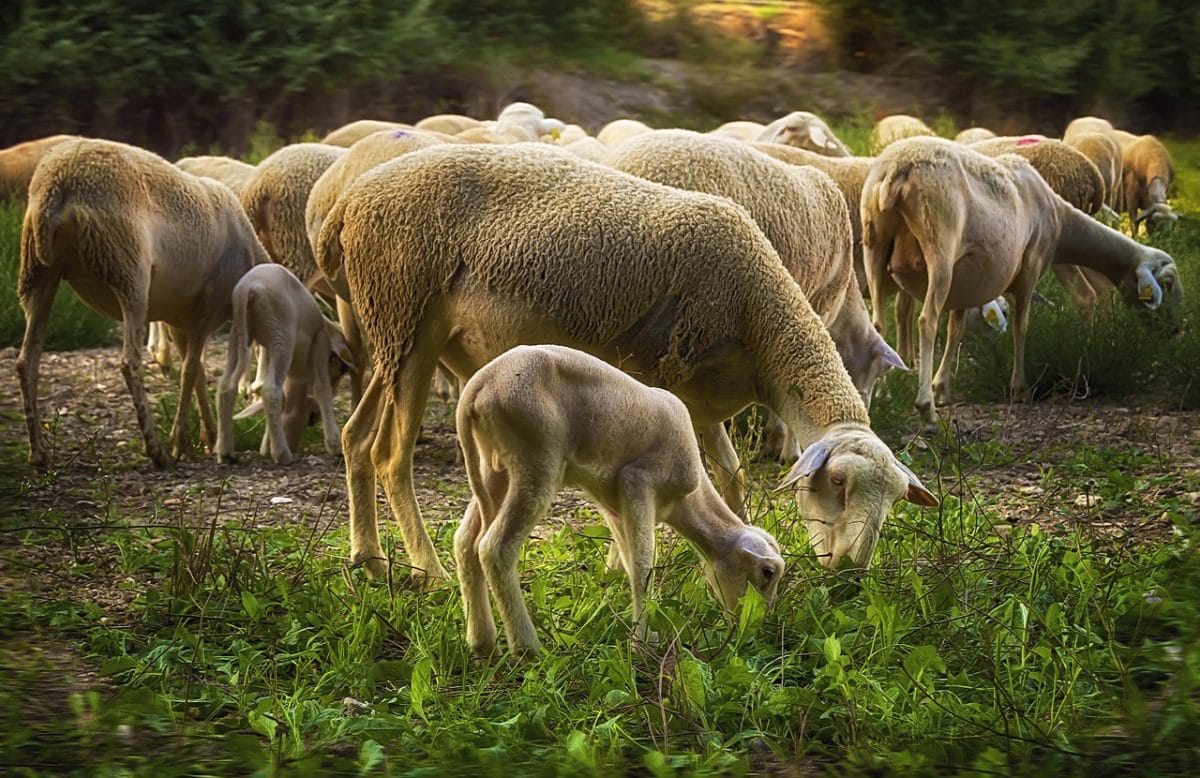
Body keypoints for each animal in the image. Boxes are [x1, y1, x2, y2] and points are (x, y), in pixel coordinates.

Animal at [18, 138, 269, 467]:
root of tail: (61, 184)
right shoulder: (205, 310)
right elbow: (190, 371)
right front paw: (181, 441)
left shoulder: (180, 320)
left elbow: (197, 372)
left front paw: (206, 437)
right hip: (128, 269)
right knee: (129, 362)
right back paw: (156, 450)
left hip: (38, 270)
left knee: (27, 361)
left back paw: (38, 453)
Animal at [216, 264, 354, 465]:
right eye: (342, 368)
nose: (313, 418)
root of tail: (247, 289)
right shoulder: (319, 346)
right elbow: (322, 389)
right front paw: (334, 445)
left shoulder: (269, 351)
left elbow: (279, 396)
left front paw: (266, 447)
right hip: (281, 335)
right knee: (271, 390)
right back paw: (282, 454)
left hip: (240, 334)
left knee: (226, 386)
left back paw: (226, 452)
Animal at [316, 142, 938, 583]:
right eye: (836, 480)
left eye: (895, 503)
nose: (850, 575)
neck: (760, 319)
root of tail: (346, 206)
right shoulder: (659, 380)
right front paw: (621, 566)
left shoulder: (701, 397)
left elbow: (731, 476)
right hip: (406, 314)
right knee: (390, 453)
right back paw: (428, 570)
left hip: (394, 336)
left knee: (355, 438)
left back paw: (368, 560)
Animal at [455, 345, 785, 655]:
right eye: (767, 573)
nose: (755, 627)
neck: (688, 502)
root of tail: (480, 386)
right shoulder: (637, 481)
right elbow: (643, 563)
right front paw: (645, 641)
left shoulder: (613, 503)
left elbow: (626, 559)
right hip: (535, 455)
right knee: (494, 548)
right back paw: (528, 648)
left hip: (495, 465)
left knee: (465, 541)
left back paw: (483, 642)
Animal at [862, 137, 1182, 424]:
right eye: (1167, 283)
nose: (1176, 331)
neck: (1060, 219)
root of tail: (897, 169)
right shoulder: (1031, 266)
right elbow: (1021, 326)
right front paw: (1019, 388)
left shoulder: (967, 280)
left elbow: (956, 330)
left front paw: (942, 387)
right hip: (939, 247)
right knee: (927, 320)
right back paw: (925, 408)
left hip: (874, 247)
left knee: (878, 325)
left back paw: (877, 397)